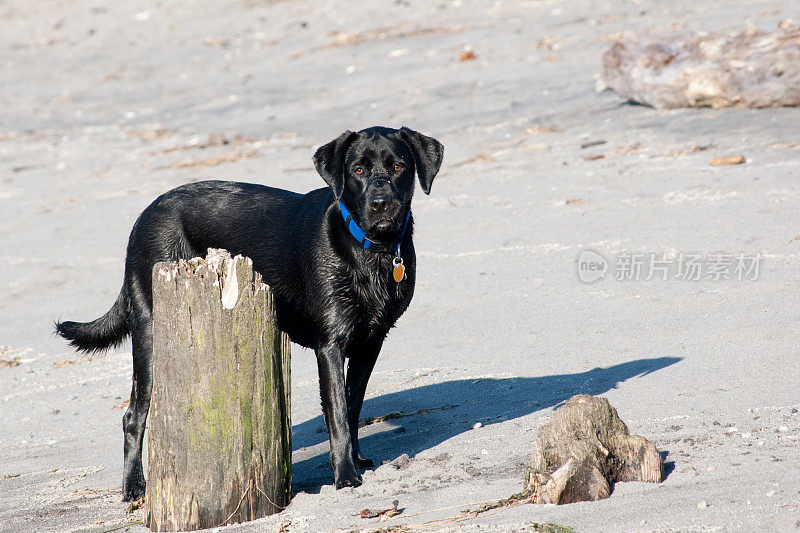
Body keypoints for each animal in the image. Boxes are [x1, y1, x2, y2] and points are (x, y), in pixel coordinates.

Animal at [56, 127, 444, 500]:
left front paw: (356, 460)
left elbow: (352, 405)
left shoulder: (370, 342)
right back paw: (133, 485)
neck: (370, 250)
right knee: (133, 416)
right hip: (150, 333)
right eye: (358, 170)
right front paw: (345, 475)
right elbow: (336, 411)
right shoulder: (330, 343)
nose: (381, 204)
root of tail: (144, 216)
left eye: (398, 166)